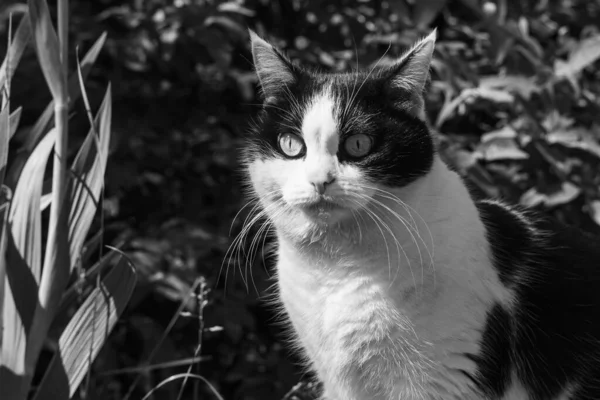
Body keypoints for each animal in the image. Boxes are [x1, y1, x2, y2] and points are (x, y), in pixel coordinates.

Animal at [241, 28, 600, 400]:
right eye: (290, 145)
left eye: (358, 145)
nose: (319, 180)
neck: (338, 267)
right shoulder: (340, 382)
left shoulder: (444, 380)